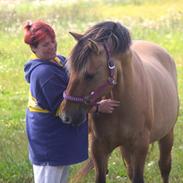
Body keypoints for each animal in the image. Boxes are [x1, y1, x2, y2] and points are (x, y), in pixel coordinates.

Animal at [59, 20, 179, 182]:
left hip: (167, 134)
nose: (66, 116)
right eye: (69, 71)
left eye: (90, 75)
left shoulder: (140, 147)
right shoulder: (99, 148)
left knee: (165, 167)